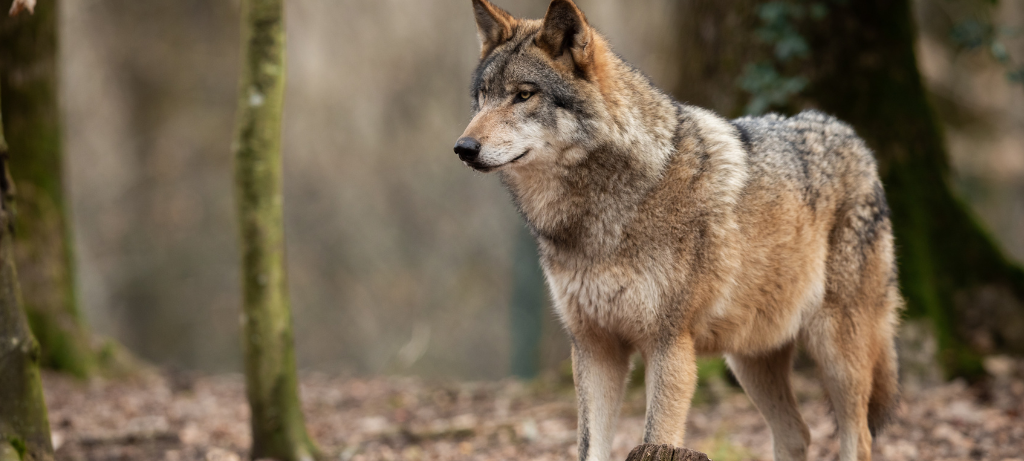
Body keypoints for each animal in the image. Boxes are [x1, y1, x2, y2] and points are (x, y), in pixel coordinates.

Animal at [454, 1, 902, 460]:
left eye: (524, 95)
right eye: (483, 96)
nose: (463, 148)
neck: (602, 213)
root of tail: (853, 138)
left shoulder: (670, 344)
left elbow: (658, 433)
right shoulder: (594, 347)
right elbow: (590, 447)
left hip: (837, 351)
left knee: (858, 437)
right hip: (749, 358)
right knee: (798, 433)